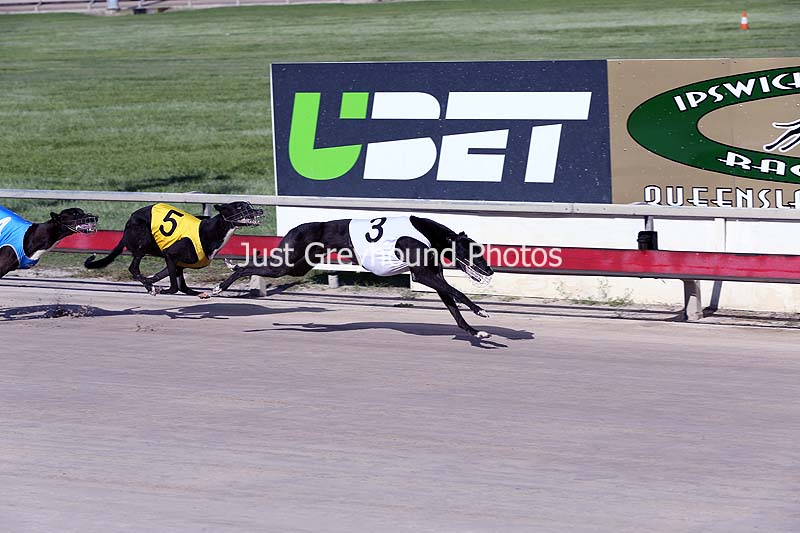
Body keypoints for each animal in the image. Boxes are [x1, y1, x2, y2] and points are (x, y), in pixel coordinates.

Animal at [84, 201, 263, 295]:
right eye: (239, 207)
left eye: (249, 205)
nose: (260, 210)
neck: (210, 230)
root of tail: (129, 221)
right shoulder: (170, 255)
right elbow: (174, 287)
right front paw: (160, 289)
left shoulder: (177, 264)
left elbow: (172, 281)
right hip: (143, 240)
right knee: (133, 268)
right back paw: (149, 286)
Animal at [200, 215, 495, 338]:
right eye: (475, 252)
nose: (491, 270)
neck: (427, 233)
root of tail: (295, 228)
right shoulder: (423, 275)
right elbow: (459, 292)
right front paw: (481, 311)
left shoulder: (434, 277)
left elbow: (454, 306)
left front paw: (475, 332)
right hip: (285, 264)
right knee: (246, 268)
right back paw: (217, 288)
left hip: (297, 266)